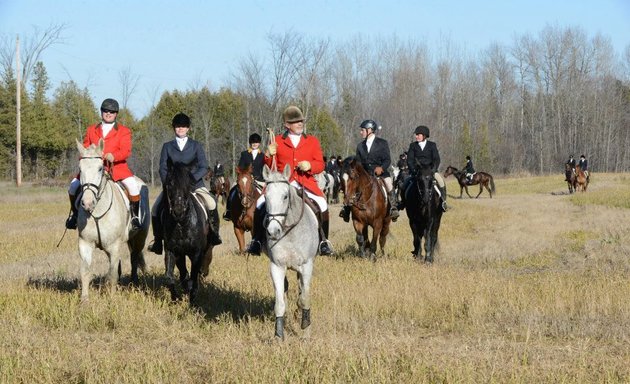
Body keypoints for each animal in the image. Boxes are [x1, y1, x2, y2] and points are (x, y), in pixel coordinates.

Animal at [75, 140, 149, 302]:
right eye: (80, 169)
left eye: (100, 168)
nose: (87, 203)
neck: (96, 211)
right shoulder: (85, 244)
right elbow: (85, 271)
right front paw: (84, 300)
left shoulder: (114, 246)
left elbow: (113, 274)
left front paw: (112, 300)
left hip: (140, 238)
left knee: (134, 258)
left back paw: (134, 283)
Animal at [163, 162, 215, 304]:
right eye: (170, 183)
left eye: (188, 184)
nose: (178, 211)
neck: (182, 223)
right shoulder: (172, 250)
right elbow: (169, 277)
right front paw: (175, 299)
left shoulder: (196, 252)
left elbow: (194, 278)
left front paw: (192, 302)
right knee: (184, 273)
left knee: (202, 266)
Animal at [262, 164, 320, 340]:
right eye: (266, 196)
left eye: (285, 196)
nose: (273, 231)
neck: (290, 232)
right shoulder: (277, 266)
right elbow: (279, 303)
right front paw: (279, 335)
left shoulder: (307, 266)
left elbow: (305, 299)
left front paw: (305, 330)